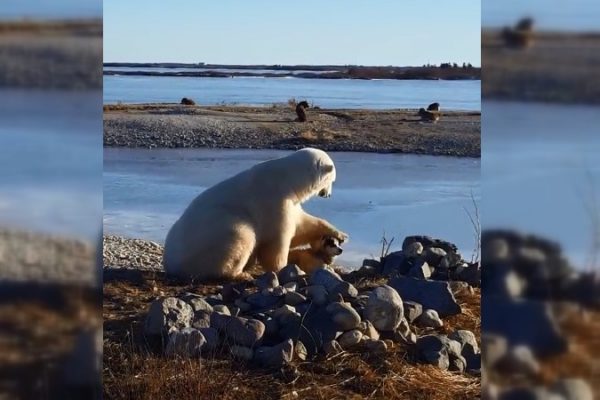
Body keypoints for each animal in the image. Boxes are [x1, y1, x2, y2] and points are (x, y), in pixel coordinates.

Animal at [162, 148, 350, 282]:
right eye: (332, 180)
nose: (328, 195)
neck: (287, 178)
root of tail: (170, 263)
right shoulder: (273, 200)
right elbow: (277, 240)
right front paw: (283, 268)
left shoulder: (290, 202)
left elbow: (303, 225)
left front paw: (341, 235)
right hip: (213, 234)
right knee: (240, 236)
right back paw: (240, 274)